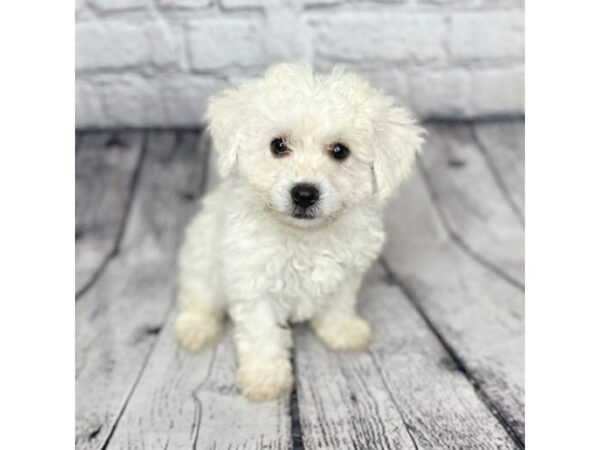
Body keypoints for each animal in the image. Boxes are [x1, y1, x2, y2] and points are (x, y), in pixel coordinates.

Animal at [176, 62, 424, 400]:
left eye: (340, 151)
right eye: (278, 145)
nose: (304, 194)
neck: (305, 235)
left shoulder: (346, 273)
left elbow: (338, 305)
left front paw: (341, 331)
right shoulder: (254, 282)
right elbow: (262, 332)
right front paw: (266, 376)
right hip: (201, 258)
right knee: (198, 295)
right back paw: (195, 327)